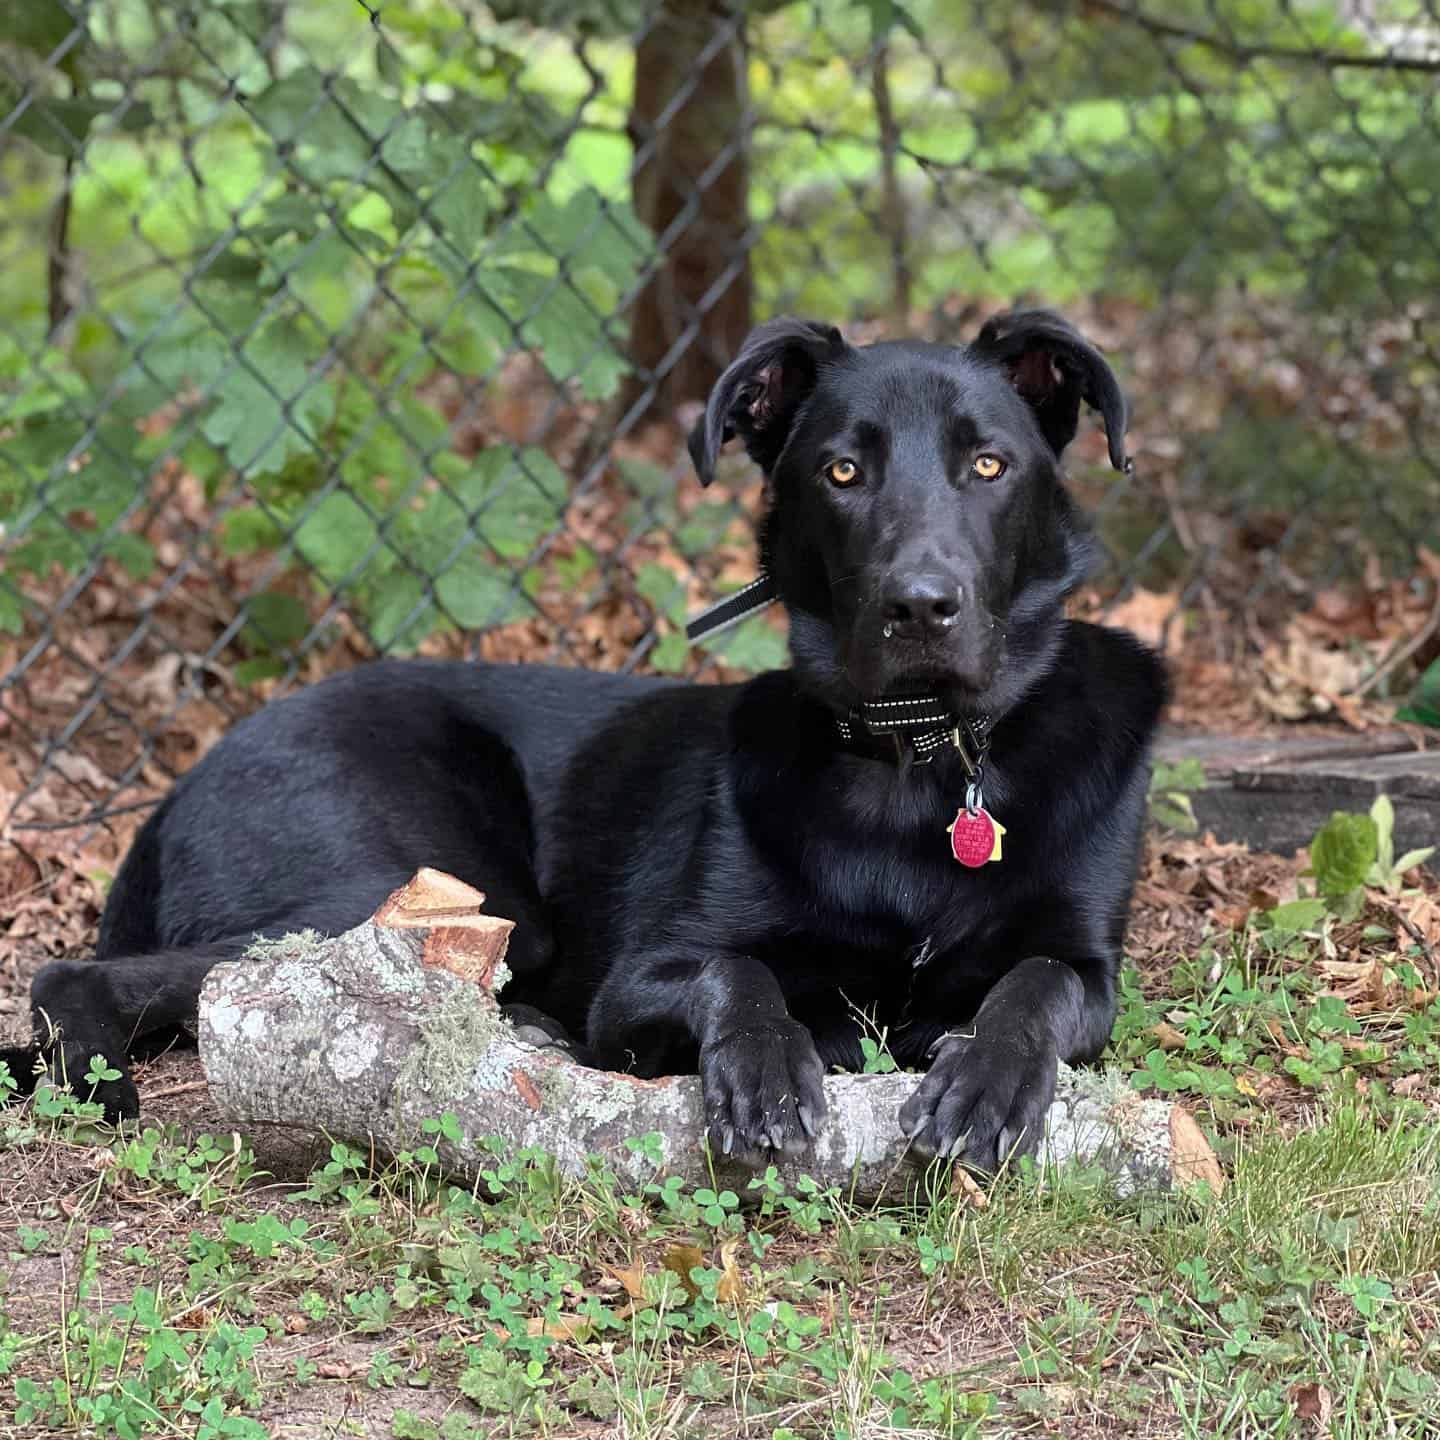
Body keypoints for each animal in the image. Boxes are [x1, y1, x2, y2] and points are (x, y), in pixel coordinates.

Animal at [2, 306, 1169, 1169]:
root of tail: (179, 786)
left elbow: (1039, 985)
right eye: (843, 473)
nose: (920, 607)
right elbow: (737, 974)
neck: (925, 767)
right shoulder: (639, 979)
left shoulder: (1089, 967)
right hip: (432, 895)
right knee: (95, 976)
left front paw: (985, 1078)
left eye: (989, 467)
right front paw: (771, 1062)